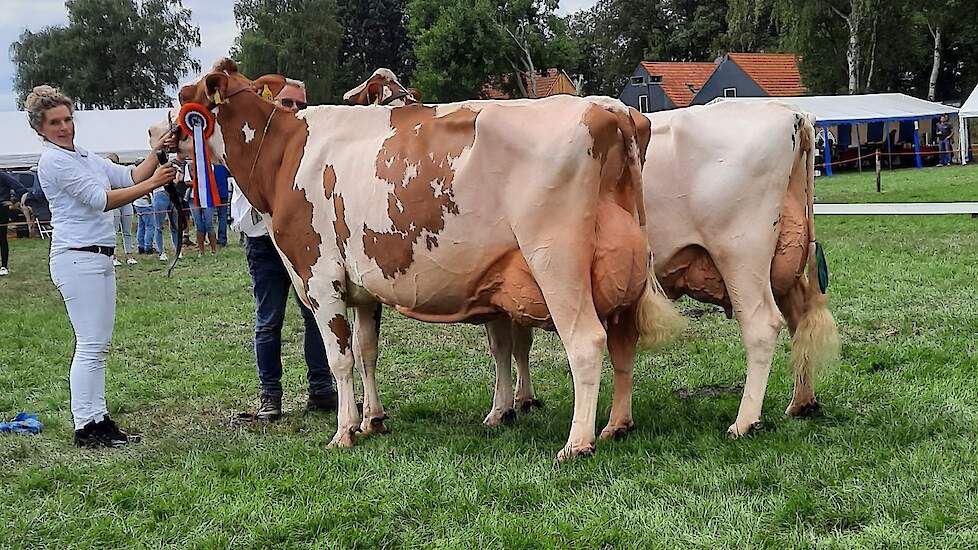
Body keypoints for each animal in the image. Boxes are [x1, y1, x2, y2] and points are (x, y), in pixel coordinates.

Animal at [175, 59, 680, 462]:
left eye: (185, 102)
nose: (162, 144)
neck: (285, 155)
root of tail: (608, 108)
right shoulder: (364, 287)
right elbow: (367, 350)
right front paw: (372, 420)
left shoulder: (318, 279)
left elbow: (340, 359)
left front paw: (343, 431)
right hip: (620, 270)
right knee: (622, 342)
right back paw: (616, 425)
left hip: (557, 263)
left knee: (586, 342)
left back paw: (578, 443)